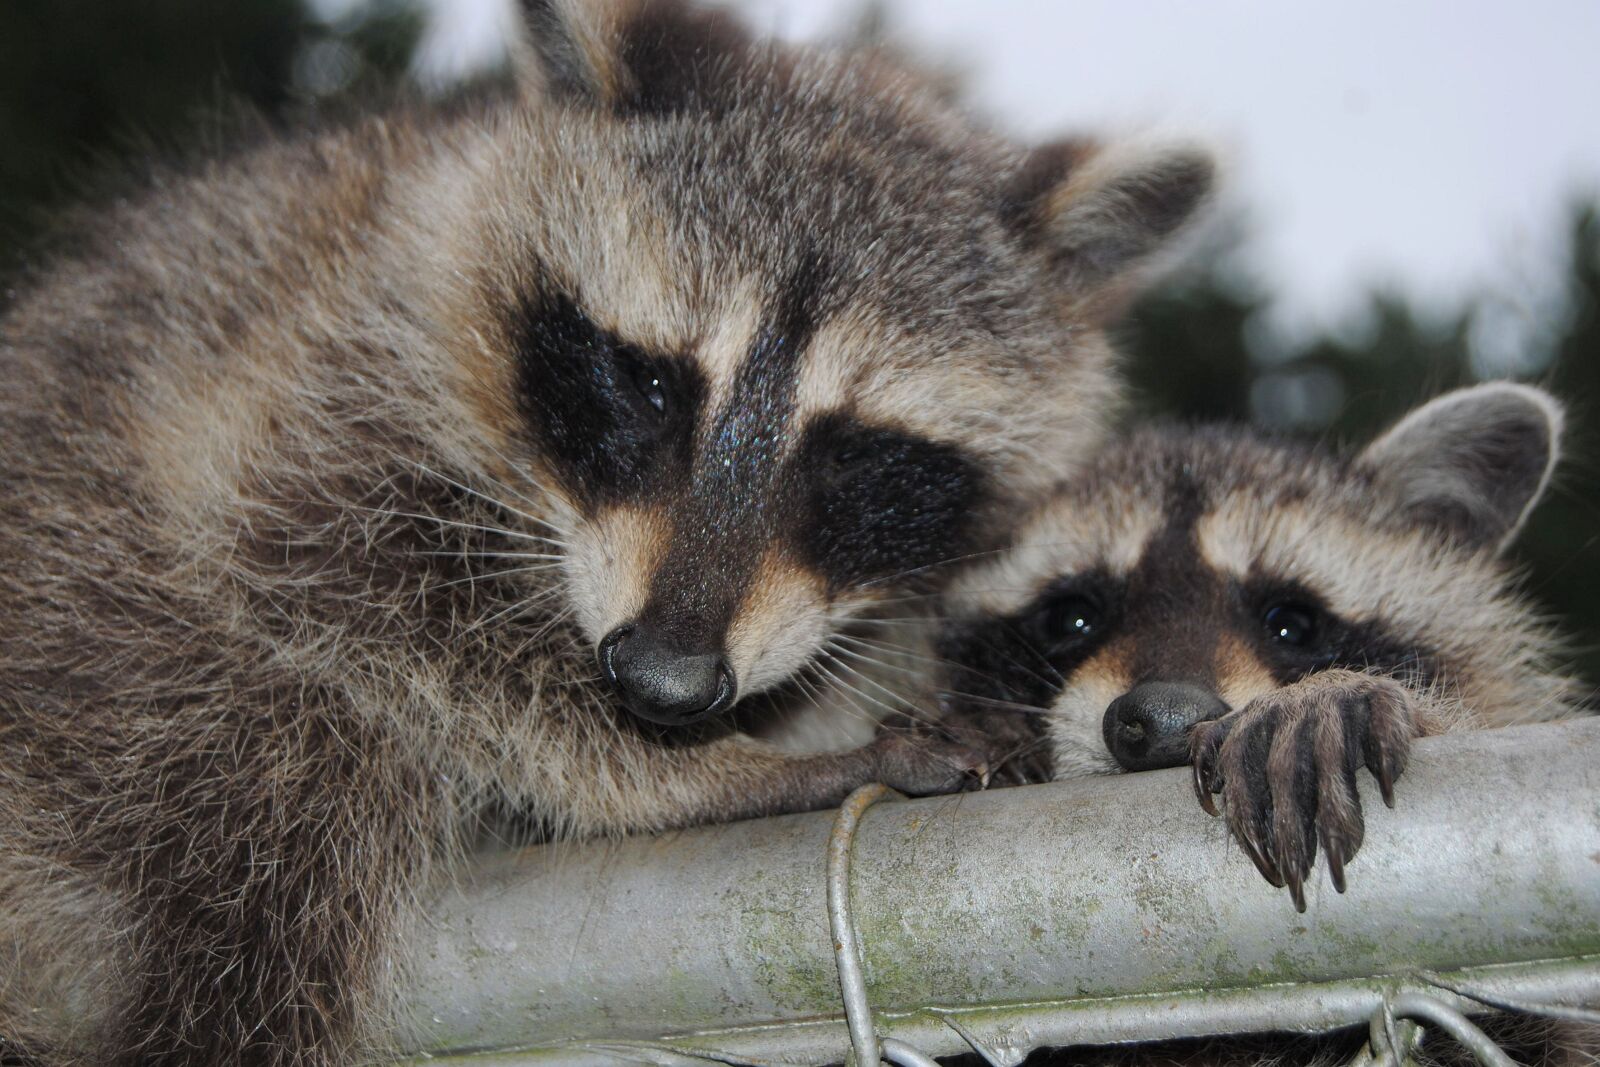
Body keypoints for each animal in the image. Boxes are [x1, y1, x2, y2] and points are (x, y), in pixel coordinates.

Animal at [0, 0, 1215, 1063]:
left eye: (855, 453)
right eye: (648, 381)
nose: (666, 685)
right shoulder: (303, 368)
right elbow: (349, 581)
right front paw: (711, 771)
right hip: (105, 629)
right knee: (284, 816)